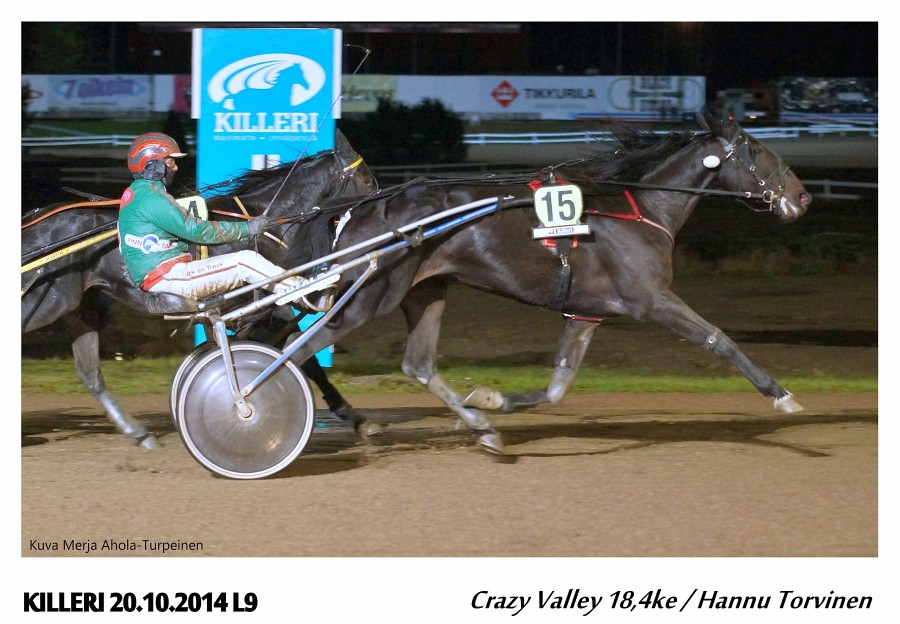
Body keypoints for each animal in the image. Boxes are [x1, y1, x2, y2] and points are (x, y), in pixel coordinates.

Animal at [21, 129, 379, 449]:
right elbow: (298, 354)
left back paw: (139, 433)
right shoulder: (261, 306)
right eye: (367, 180)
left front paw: (357, 419)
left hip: (78, 306)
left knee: (90, 373)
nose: (377, 211)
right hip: (47, 302)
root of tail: (34, 225)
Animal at [280, 109, 812, 454]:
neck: (640, 209)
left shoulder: (586, 313)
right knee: (298, 348)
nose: (803, 197)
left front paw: (491, 399)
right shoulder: (651, 299)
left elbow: (557, 386)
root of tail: (358, 209)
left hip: (424, 290)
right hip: (370, 295)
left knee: (418, 364)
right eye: (758, 151)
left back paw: (482, 428)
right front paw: (782, 396)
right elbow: (719, 338)